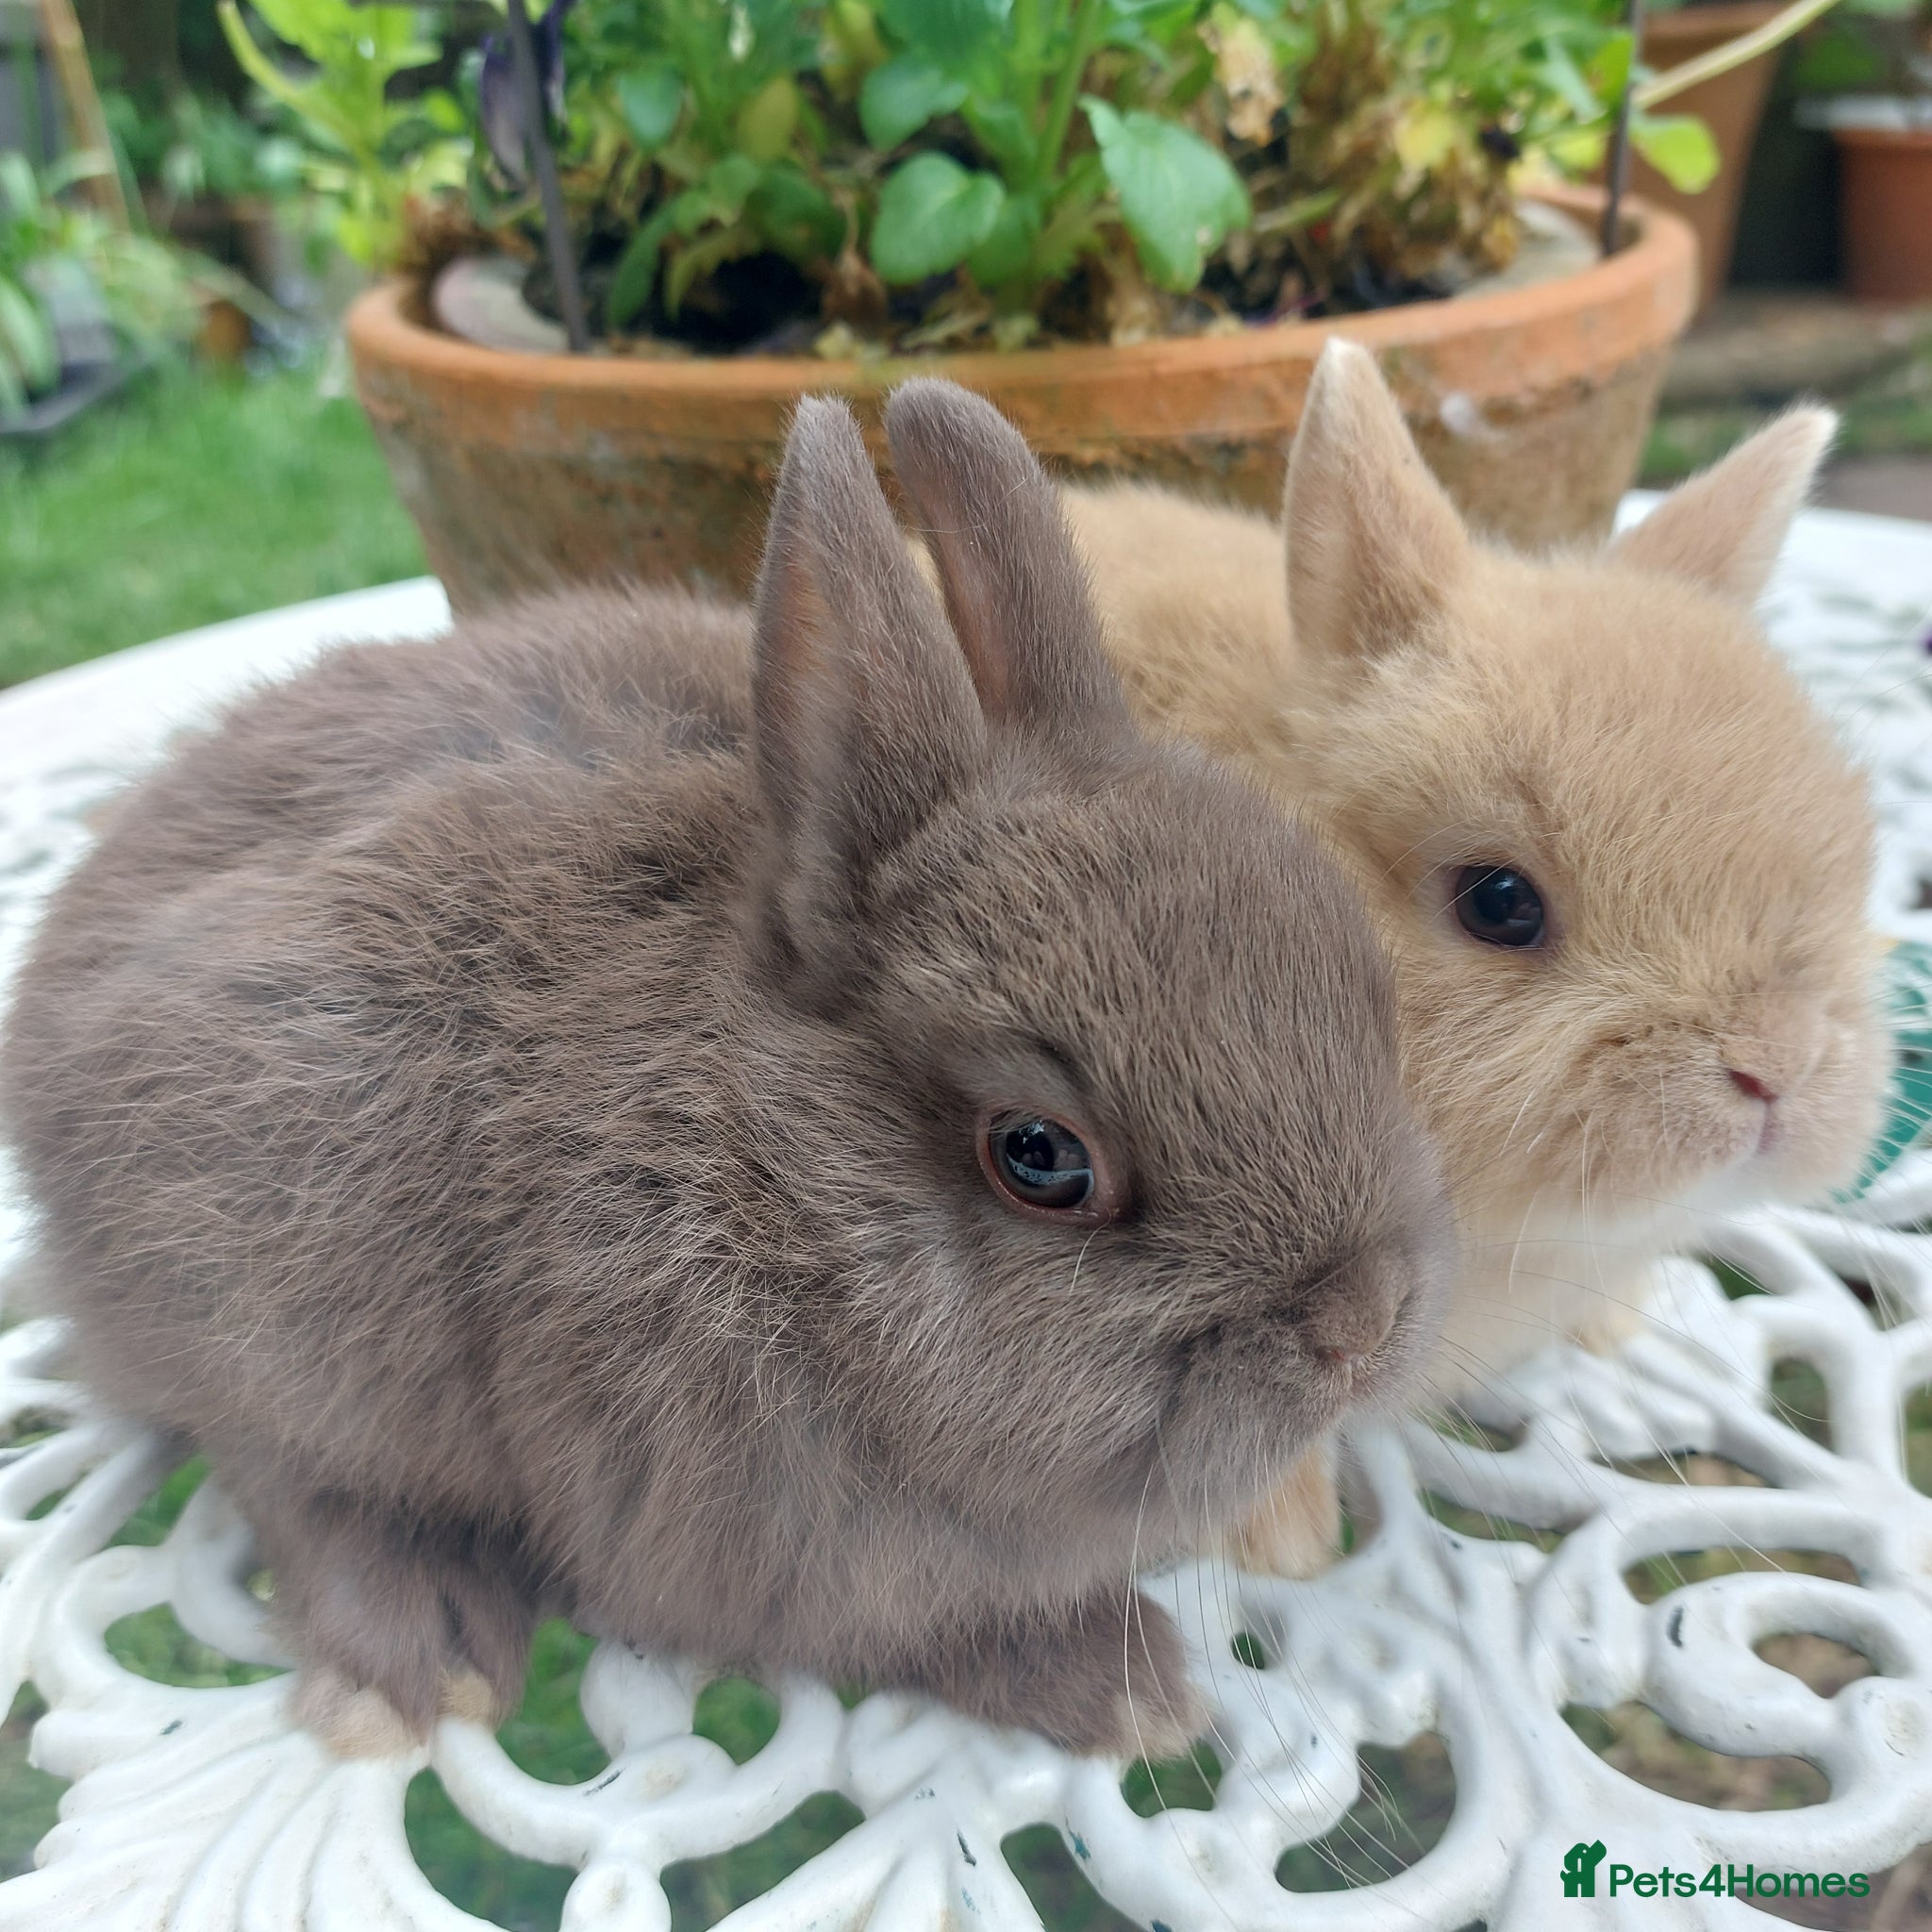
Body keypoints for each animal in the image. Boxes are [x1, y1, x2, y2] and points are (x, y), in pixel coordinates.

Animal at [0, 378, 1453, 1760]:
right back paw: (424, 1654)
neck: (763, 1172)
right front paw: (1124, 1686)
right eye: (1040, 1158)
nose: (1357, 1324)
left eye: (1364, 992)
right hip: (269, 1285)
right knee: (282, 1466)